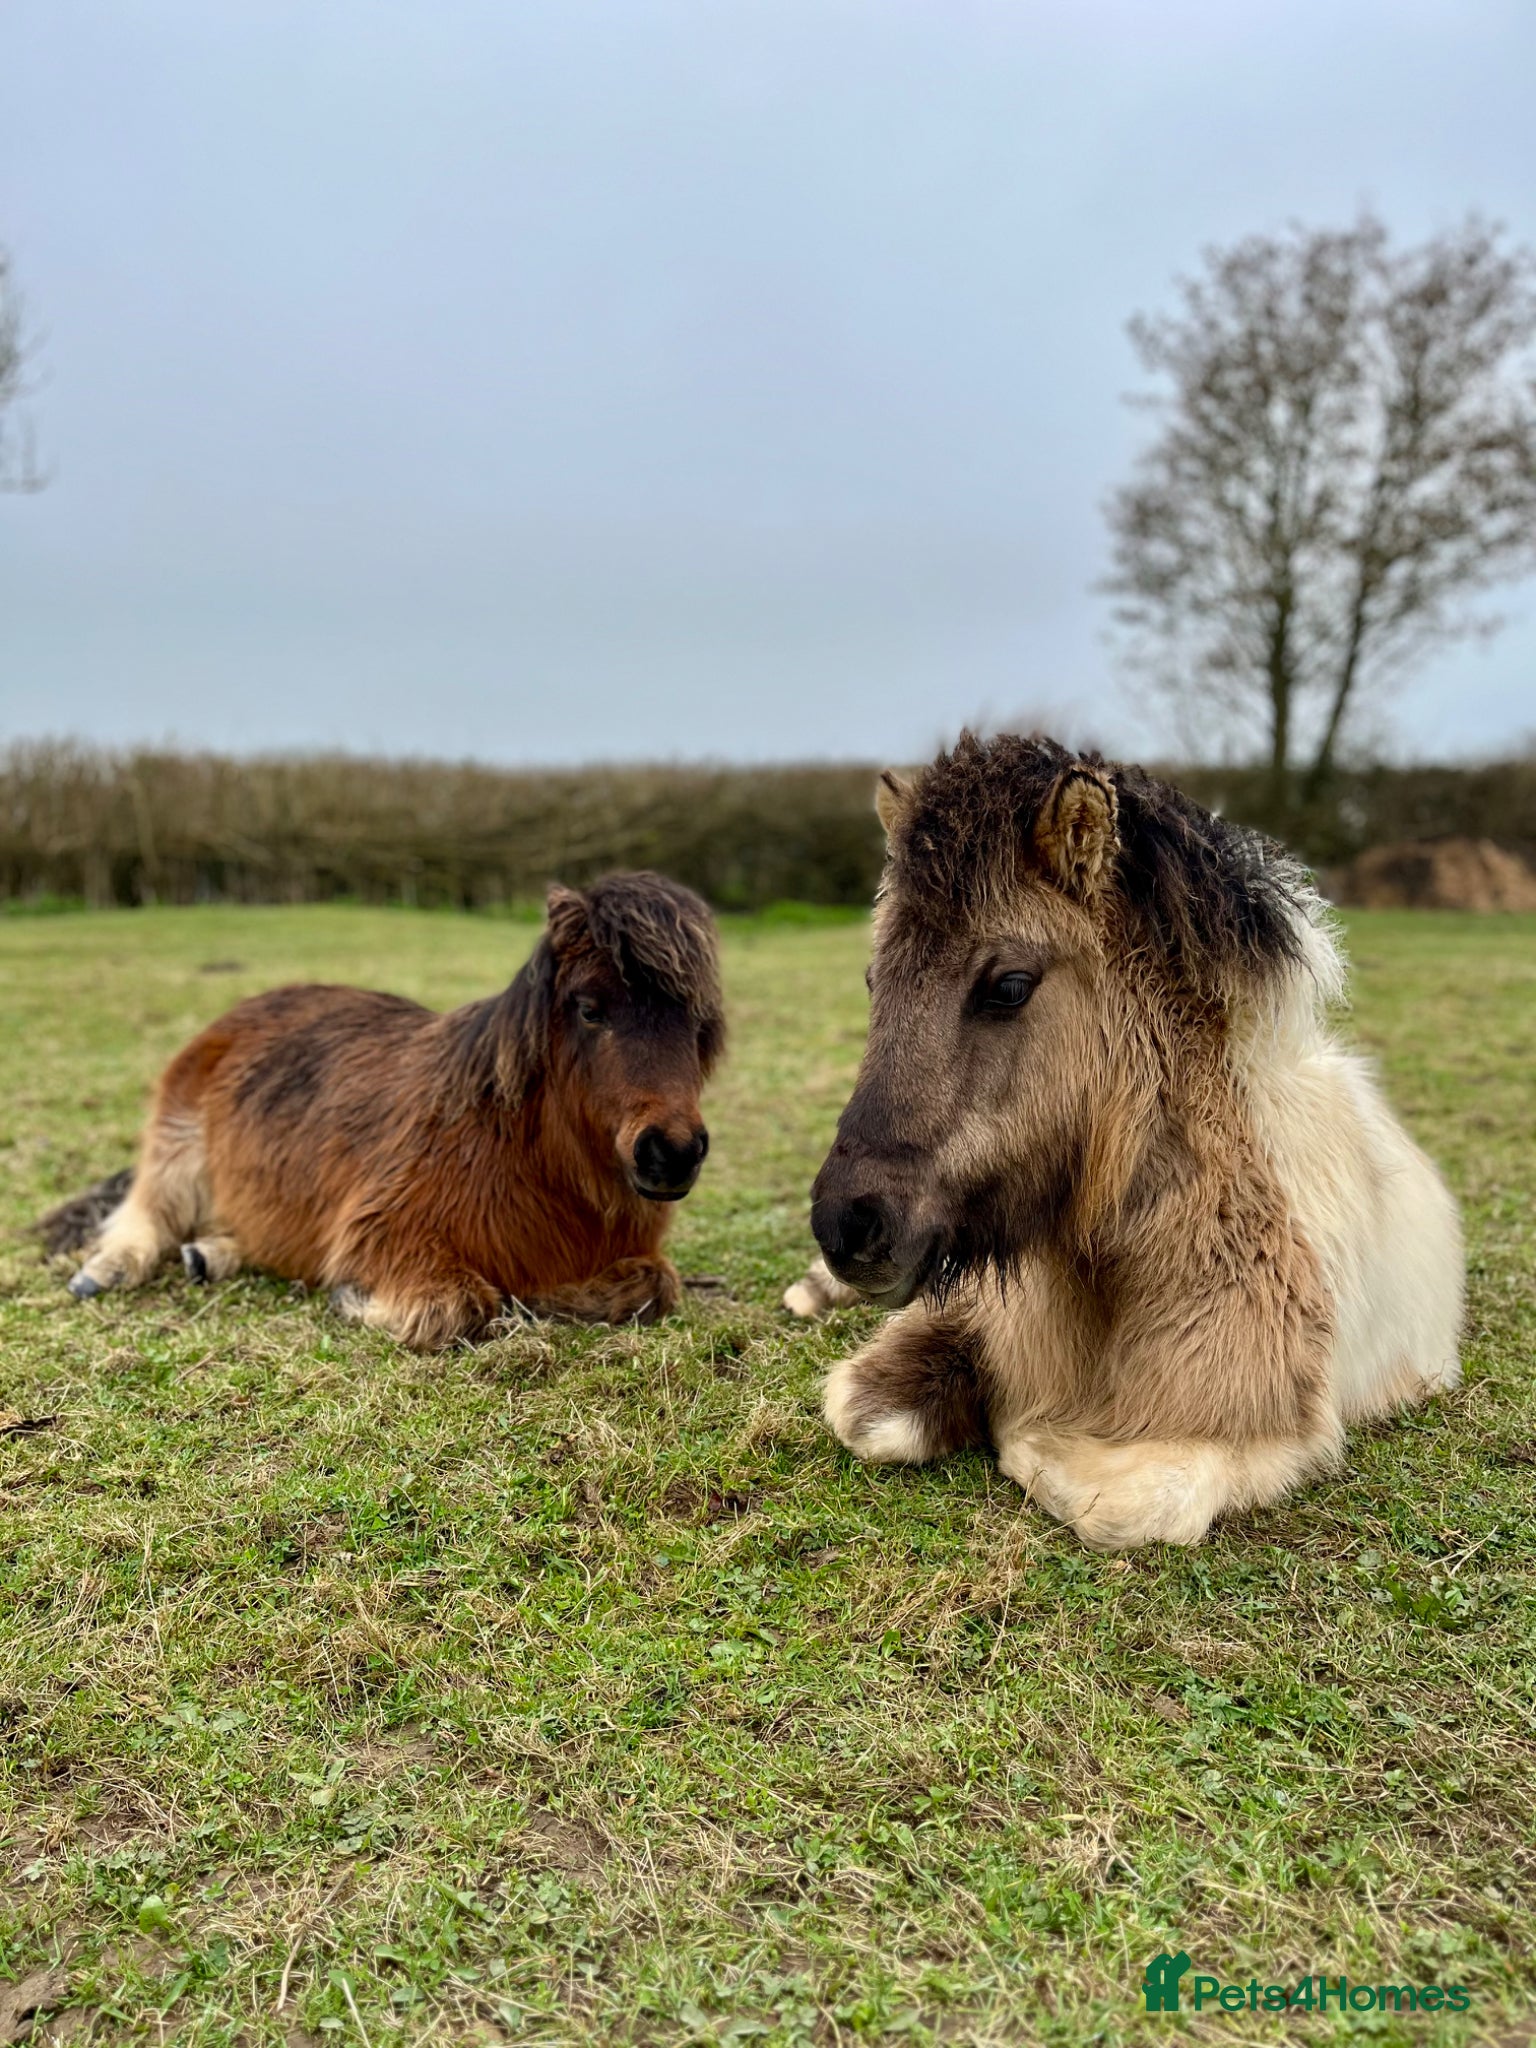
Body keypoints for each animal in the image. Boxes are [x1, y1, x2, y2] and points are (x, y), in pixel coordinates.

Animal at [56, 872, 724, 1348]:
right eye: (590, 1009)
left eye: (699, 1020)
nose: (671, 1152)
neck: (517, 1150)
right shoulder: (384, 1234)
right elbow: (461, 1306)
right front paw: (356, 1299)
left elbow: (655, 1286)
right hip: (178, 1143)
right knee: (146, 1215)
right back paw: (108, 1270)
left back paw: (214, 1255)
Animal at [786, 733, 1463, 1550]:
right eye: (872, 980)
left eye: (1009, 986)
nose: (847, 1225)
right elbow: (865, 1411)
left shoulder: (1263, 1437)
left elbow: (1098, 1487)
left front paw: (1015, 1426)